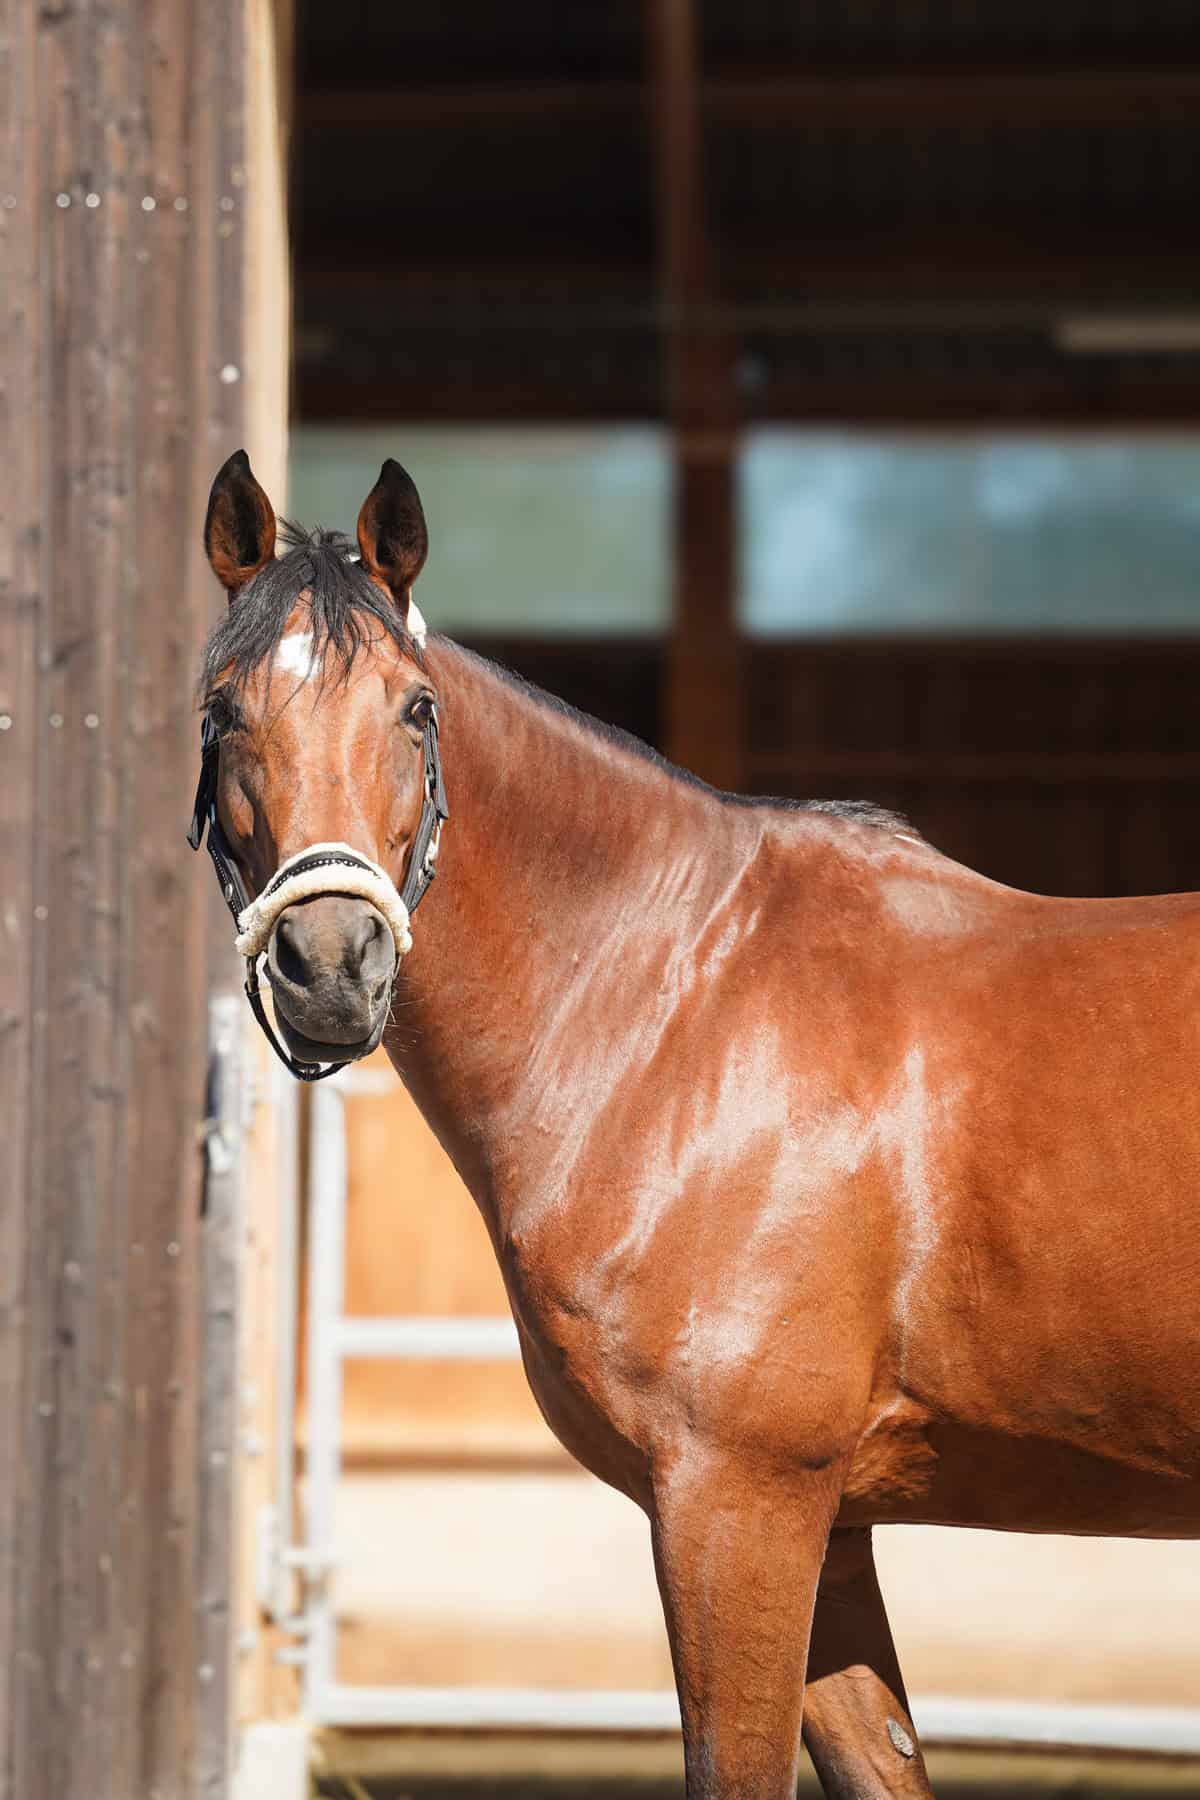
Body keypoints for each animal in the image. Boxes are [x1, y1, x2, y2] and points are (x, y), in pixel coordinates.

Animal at [194, 450, 1200, 1800]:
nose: (329, 968)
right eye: (222, 712)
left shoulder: (737, 1501)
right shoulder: (831, 1524)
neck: (682, 1006)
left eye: (415, 710)